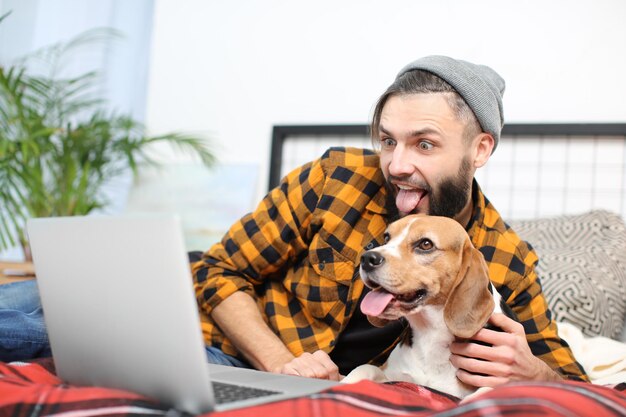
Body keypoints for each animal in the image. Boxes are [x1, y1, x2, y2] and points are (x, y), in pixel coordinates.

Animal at [342, 213, 502, 398]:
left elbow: (486, 391)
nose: (367, 258)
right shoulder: (391, 374)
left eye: (426, 244)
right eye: (387, 237)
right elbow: (364, 368)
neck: (430, 333)